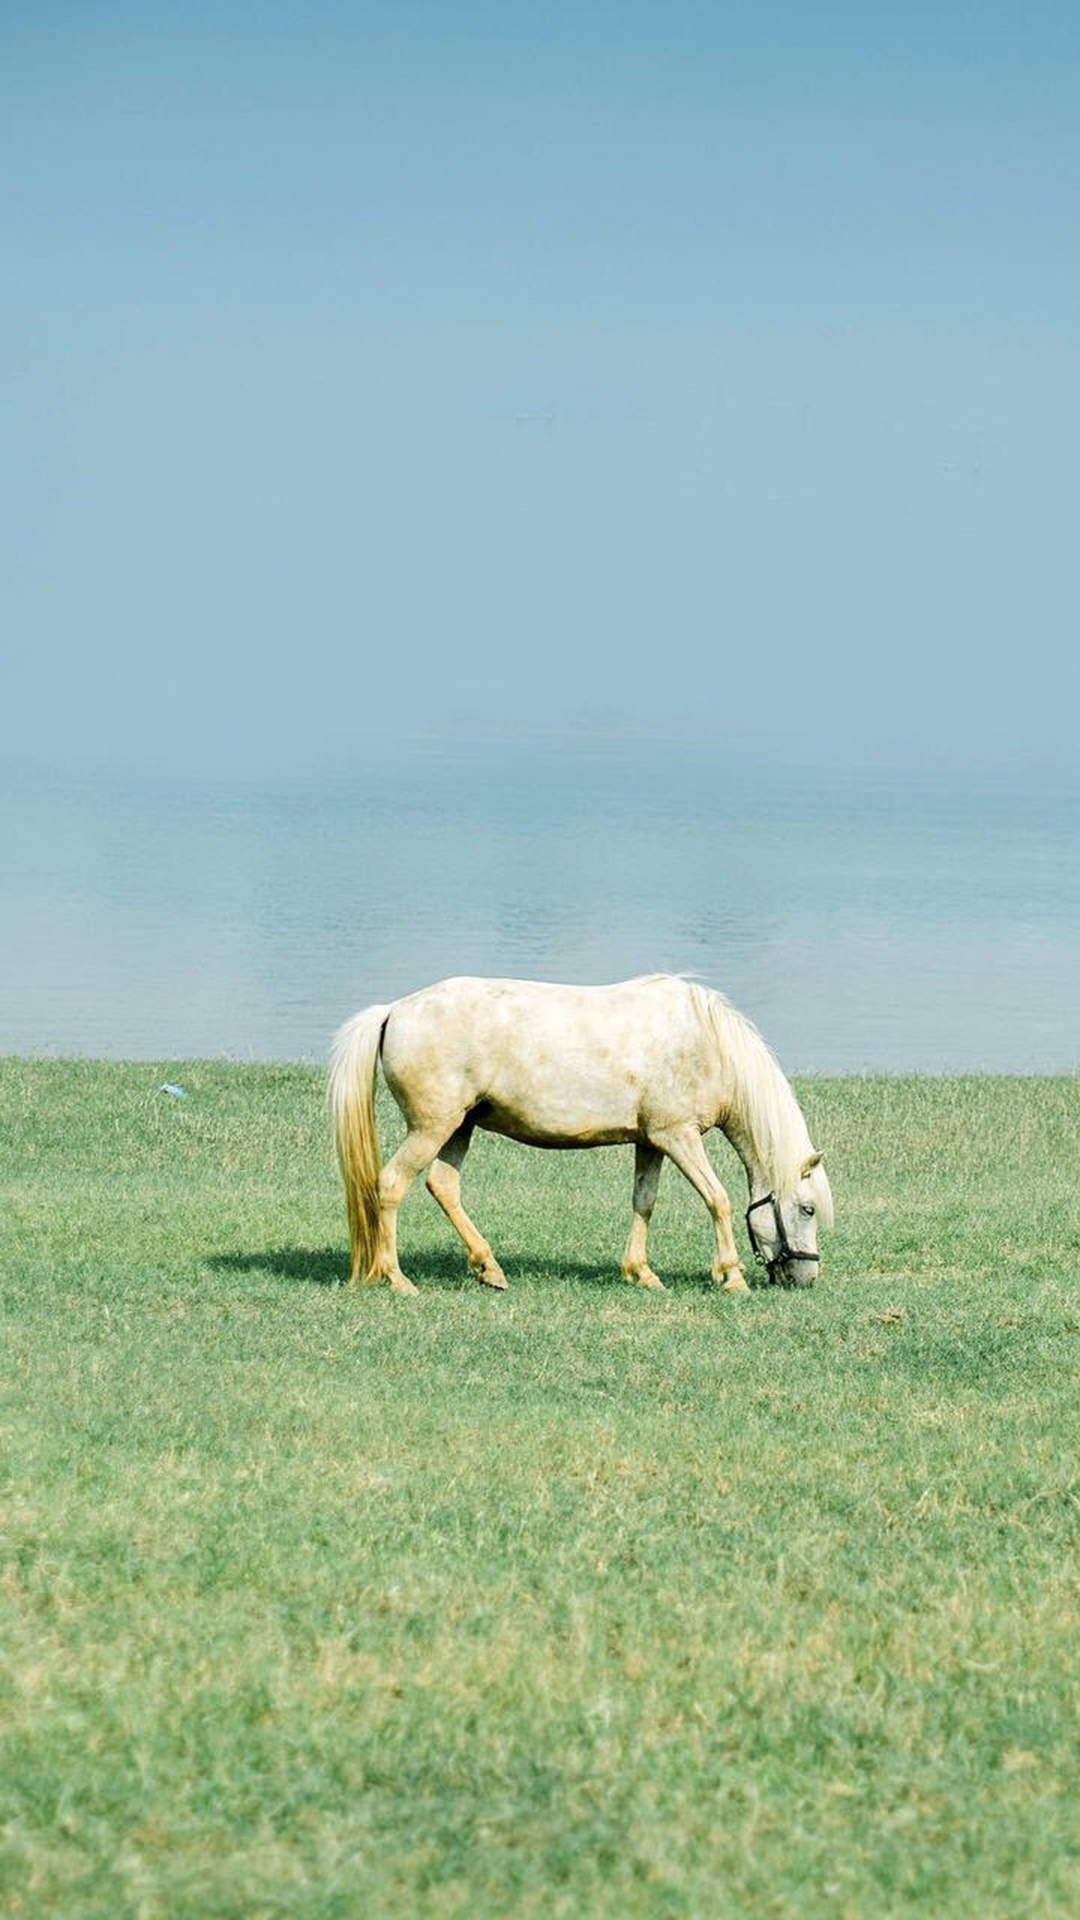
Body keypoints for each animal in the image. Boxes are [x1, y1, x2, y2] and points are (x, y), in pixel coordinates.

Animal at [328, 974, 832, 1296]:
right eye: (807, 1209)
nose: (807, 1279)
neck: (705, 1044)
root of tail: (393, 1011)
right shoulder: (678, 1137)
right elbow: (719, 1200)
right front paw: (732, 1277)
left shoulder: (651, 1141)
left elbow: (644, 1201)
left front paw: (641, 1273)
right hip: (432, 1127)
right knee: (391, 1185)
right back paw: (397, 1278)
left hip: (459, 1126)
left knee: (443, 1186)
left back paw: (489, 1268)